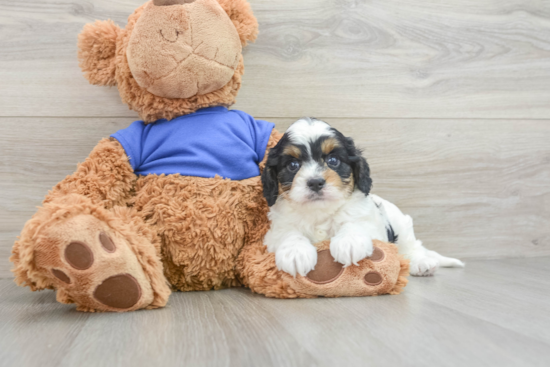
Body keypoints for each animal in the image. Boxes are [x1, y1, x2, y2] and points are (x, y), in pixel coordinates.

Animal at [264, 119, 466, 278]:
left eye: (333, 161)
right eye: (293, 165)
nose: (315, 182)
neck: (320, 211)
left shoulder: (369, 223)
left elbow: (354, 224)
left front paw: (349, 243)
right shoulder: (277, 229)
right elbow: (288, 233)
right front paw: (295, 253)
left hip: (402, 225)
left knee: (412, 247)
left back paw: (421, 263)